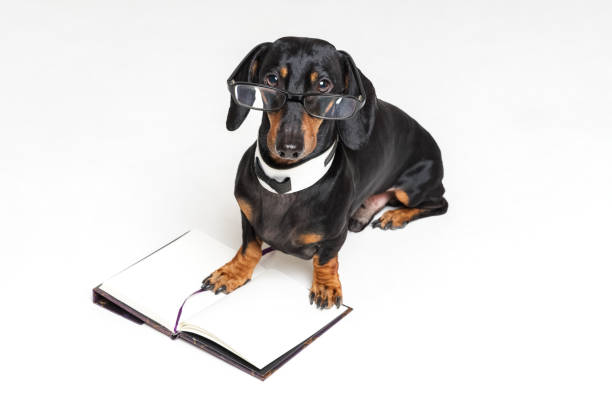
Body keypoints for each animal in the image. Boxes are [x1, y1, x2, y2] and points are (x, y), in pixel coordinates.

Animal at [203, 37, 448, 310]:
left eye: (323, 85)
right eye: (272, 79)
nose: (289, 148)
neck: (285, 180)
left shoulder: (335, 236)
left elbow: (325, 260)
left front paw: (326, 287)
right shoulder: (247, 216)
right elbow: (250, 248)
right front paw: (233, 273)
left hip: (413, 188)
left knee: (439, 203)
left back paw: (395, 217)